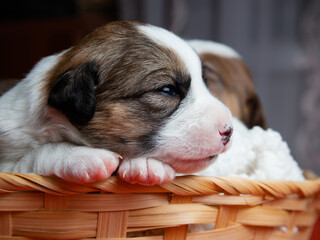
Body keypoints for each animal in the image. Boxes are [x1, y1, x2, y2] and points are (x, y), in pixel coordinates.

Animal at [0, 21, 232, 186]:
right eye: (167, 90)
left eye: (205, 82)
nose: (228, 130)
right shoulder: (9, 162)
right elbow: (37, 154)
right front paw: (84, 156)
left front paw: (146, 165)